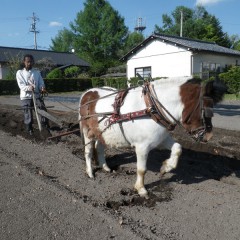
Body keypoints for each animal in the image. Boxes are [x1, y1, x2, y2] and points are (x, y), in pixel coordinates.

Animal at [79, 78, 227, 198]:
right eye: (206, 111)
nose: (208, 136)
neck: (151, 109)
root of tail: (87, 93)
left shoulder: (161, 139)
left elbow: (178, 148)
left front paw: (166, 167)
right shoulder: (142, 146)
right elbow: (141, 169)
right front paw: (141, 189)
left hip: (101, 132)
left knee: (99, 147)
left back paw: (105, 167)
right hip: (88, 131)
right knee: (88, 151)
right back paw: (90, 172)